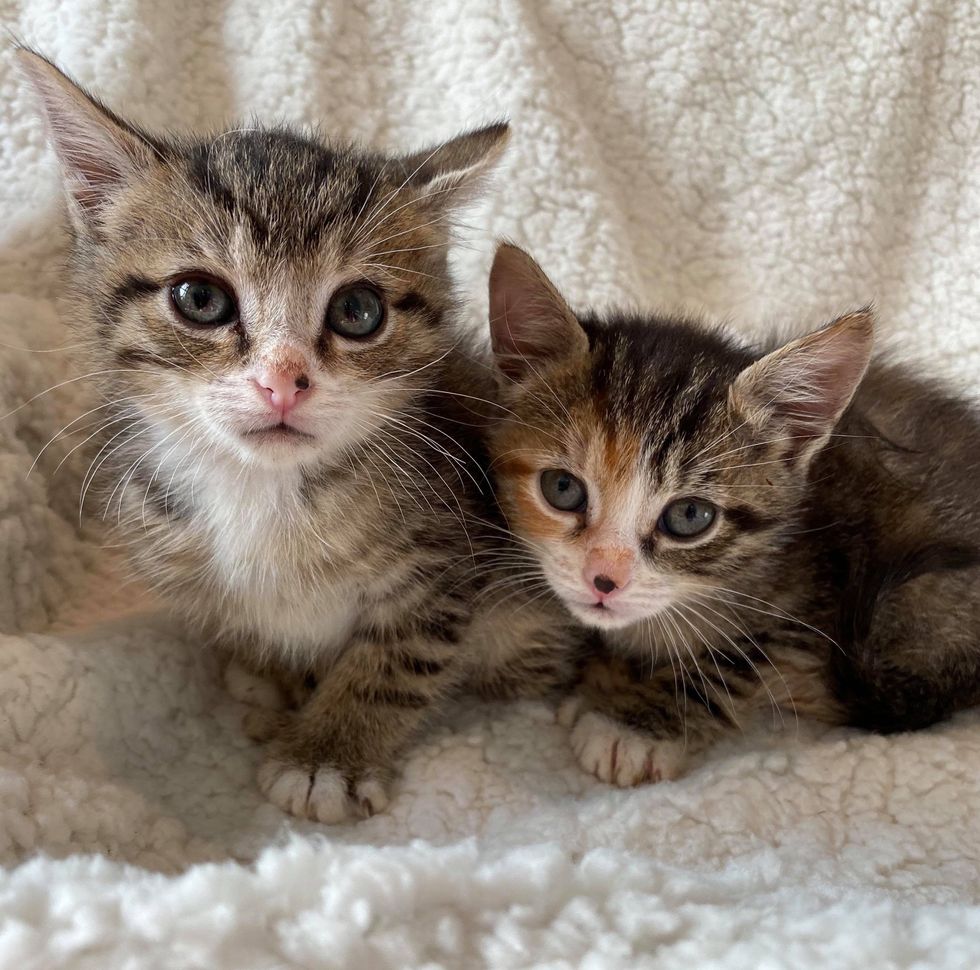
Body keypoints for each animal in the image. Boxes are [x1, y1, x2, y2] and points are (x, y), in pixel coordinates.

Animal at [23, 53, 584, 820]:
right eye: (200, 299)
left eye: (358, 310)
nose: (284, 381)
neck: (265, 497)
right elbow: (255, 630)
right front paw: (277, 680)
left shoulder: (444, 565)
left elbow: (397, 662)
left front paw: (328, 753)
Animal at [488, 242, 980, 788]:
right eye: (563, 489)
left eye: (689, 515)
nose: (604, 580)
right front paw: (606, 680)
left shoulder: (816, 599)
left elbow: (731, 661)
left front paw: (634, 725)